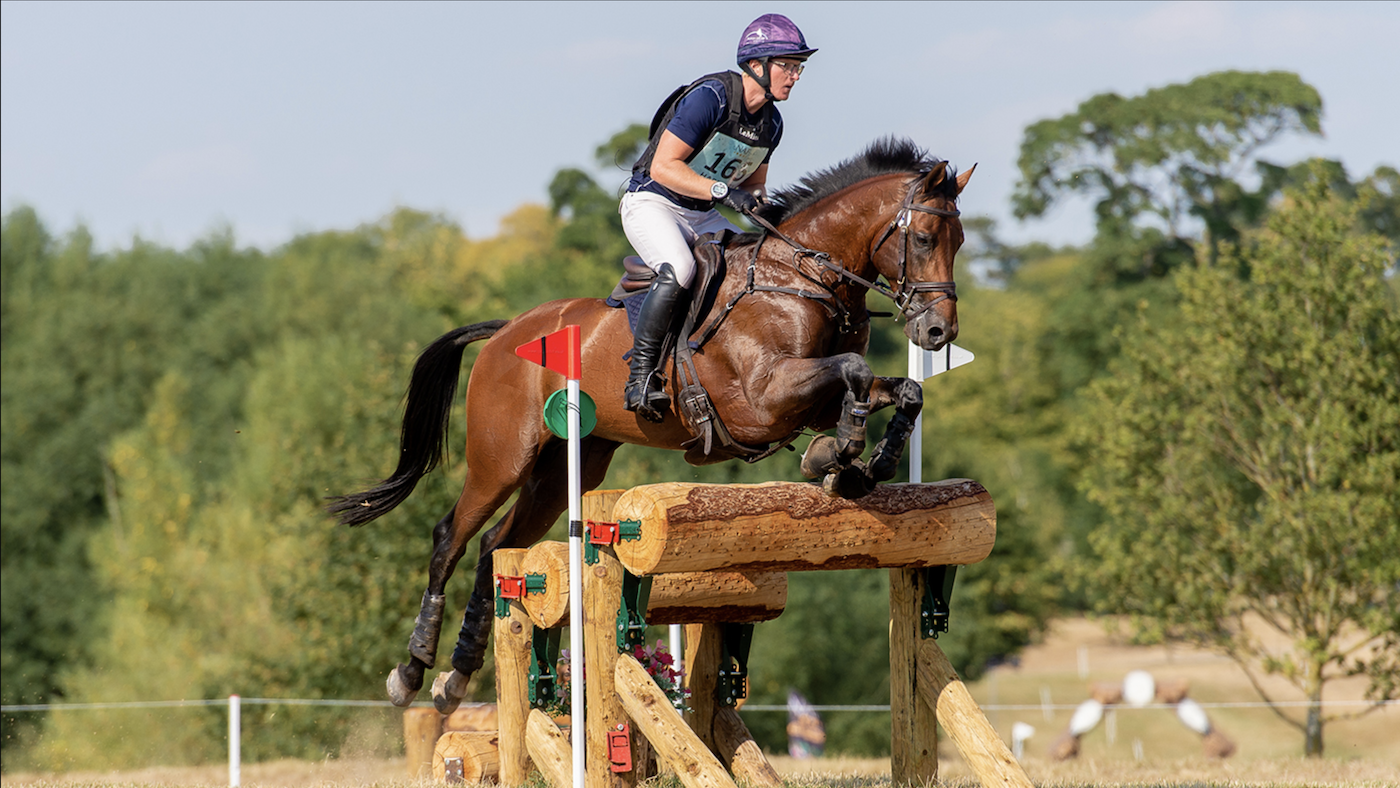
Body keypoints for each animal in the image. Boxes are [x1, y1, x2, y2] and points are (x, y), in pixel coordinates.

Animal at [329, 138, 974, 711]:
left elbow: (902, 388)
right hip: (502, 458)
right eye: (923, 238)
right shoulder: (761, 401)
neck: (802, 278)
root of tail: (504, 331)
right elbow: (854, 371)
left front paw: (861, 463)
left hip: (566, 466)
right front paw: (840, 454)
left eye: (960, 240)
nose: (937, 333)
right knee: (451, 539)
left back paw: (458, 675)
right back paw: (412, 672)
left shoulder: (802, 399)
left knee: (497, 547)